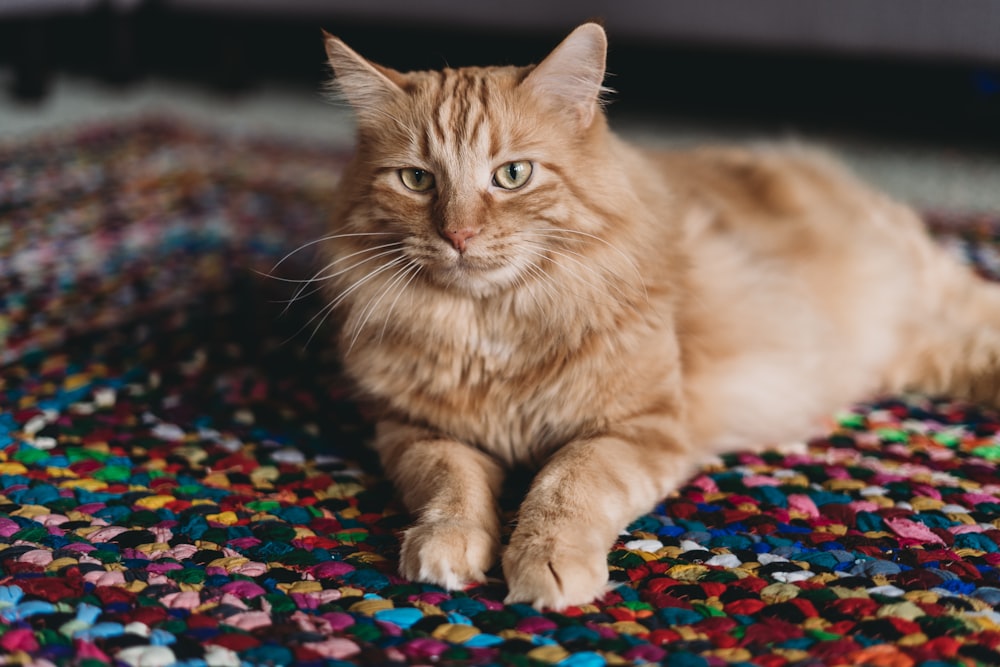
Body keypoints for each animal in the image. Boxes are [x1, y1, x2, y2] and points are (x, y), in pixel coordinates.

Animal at [318, 23, 1000, 612]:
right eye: (416, 180)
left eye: (512, 175)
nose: (458, 236)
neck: (492, 328)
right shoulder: (414, 431)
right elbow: (450, 486)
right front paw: (448, 543)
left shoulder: (636, 427)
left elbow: (566, 484)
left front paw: (547, 560)